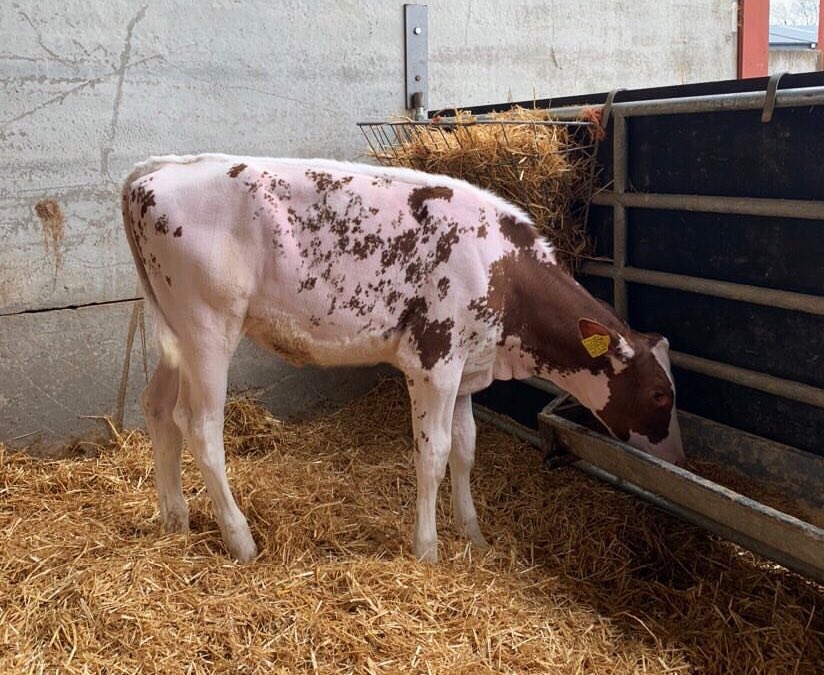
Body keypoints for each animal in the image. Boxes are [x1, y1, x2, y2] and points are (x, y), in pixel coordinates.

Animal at [122, 154, 684, 563]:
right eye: (660, 393)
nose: (678, 460)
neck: (502, 274)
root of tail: (158, 168)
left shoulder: (465, 367)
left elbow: (465, 449)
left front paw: (473, 533)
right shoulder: (434, 361)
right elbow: (432, 456)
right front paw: (428, 550)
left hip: (177, 334)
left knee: (157, 409)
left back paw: (175, 519)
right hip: (208, 328)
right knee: (199, 426)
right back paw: (241, 541)